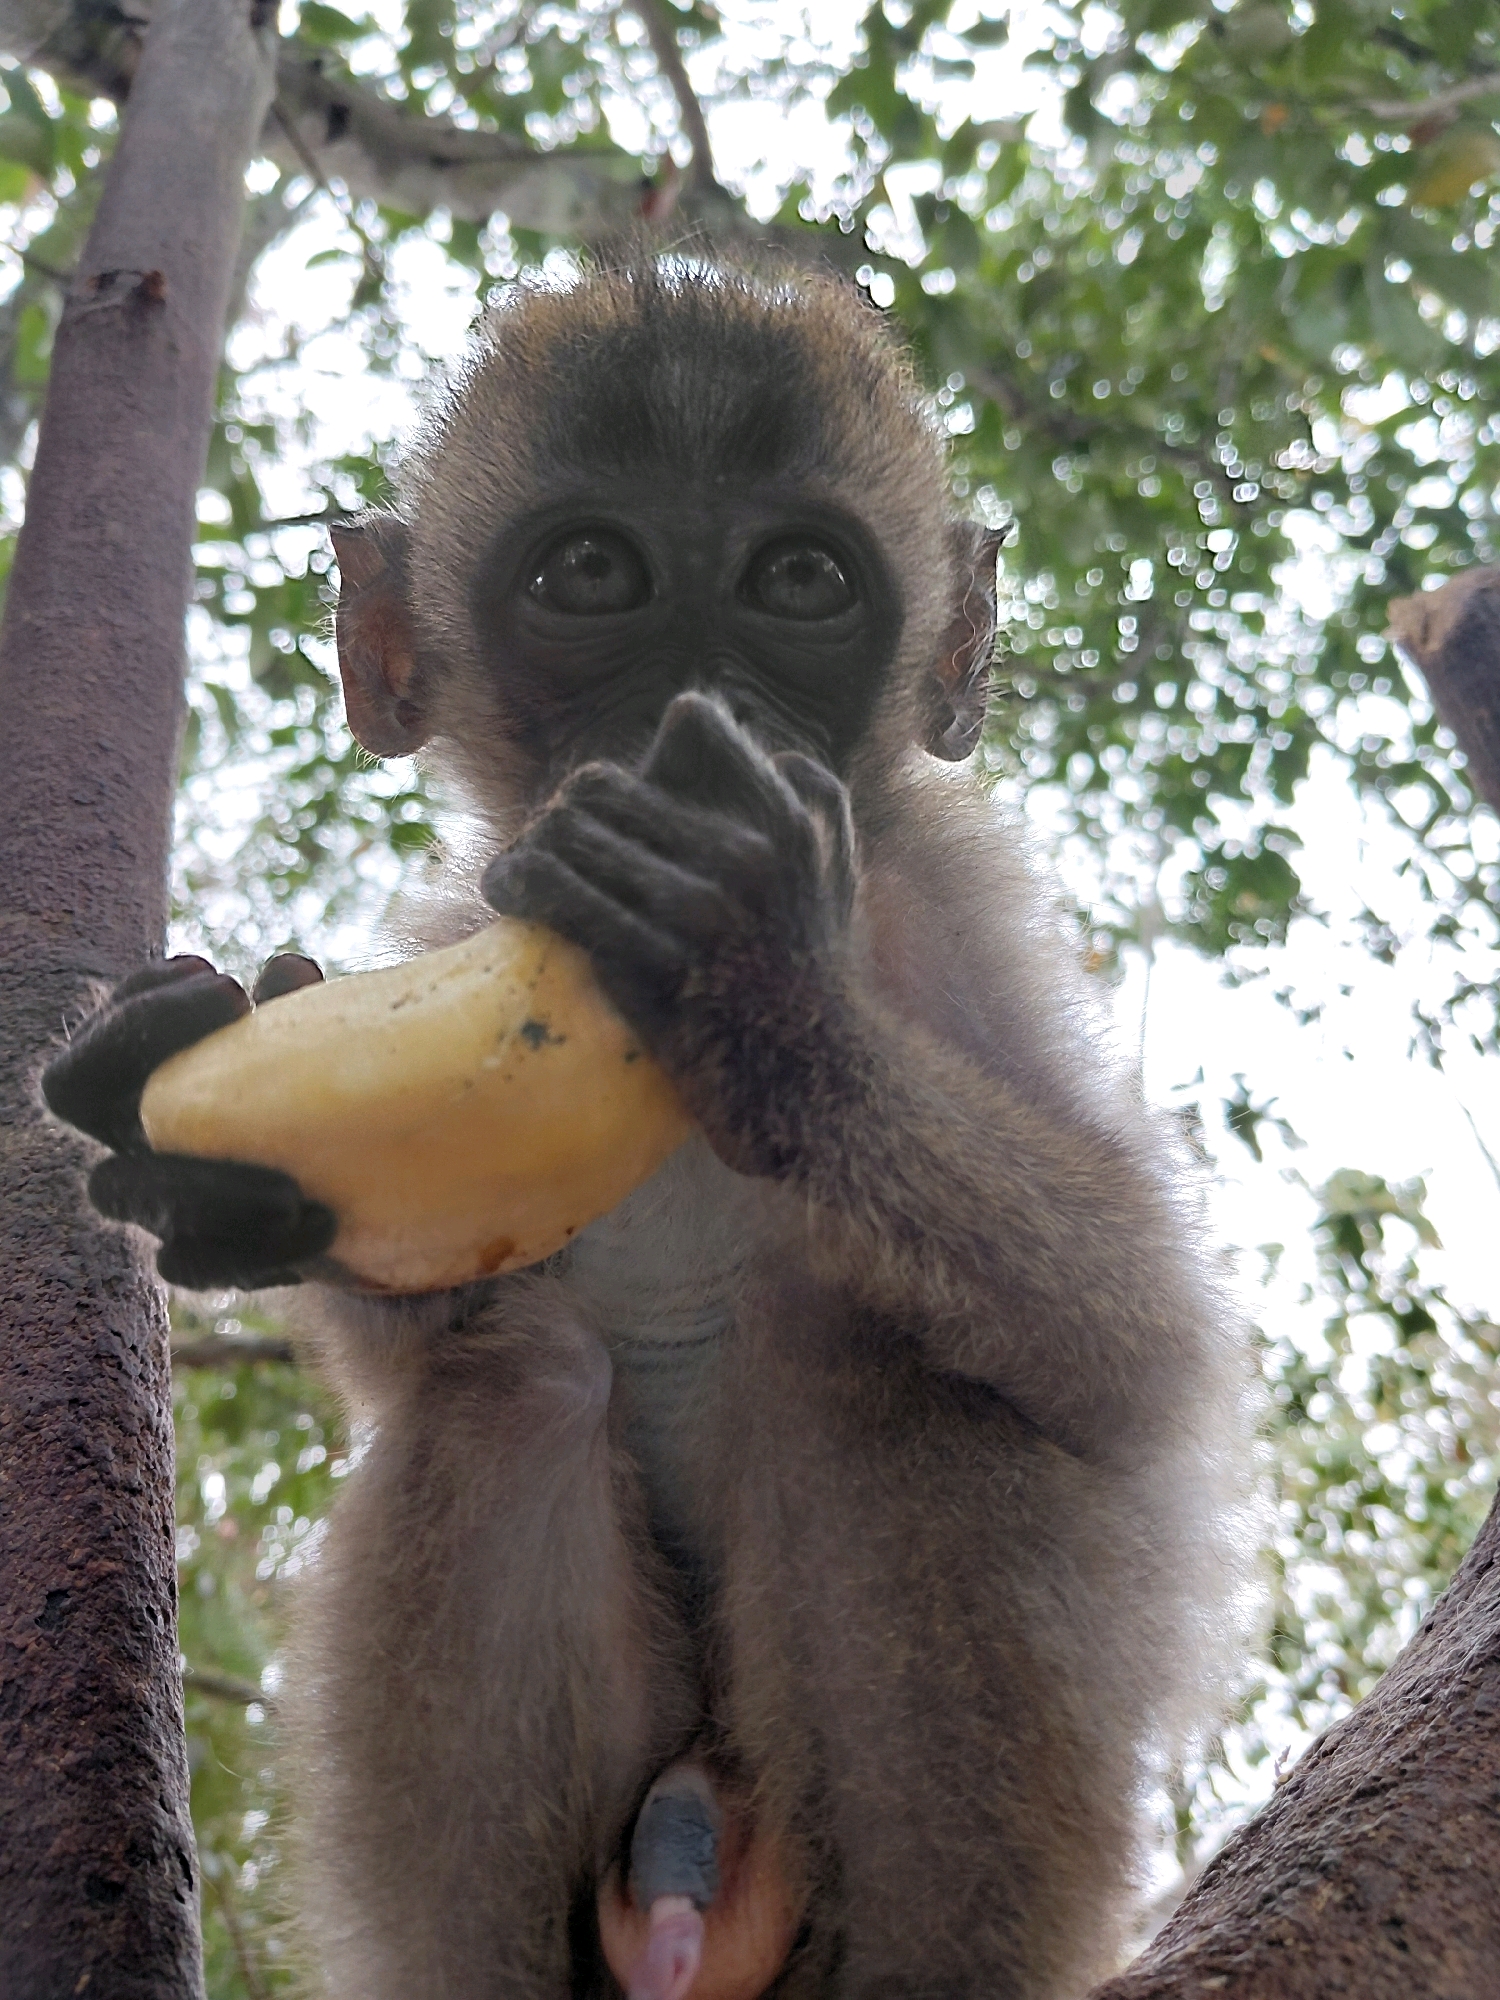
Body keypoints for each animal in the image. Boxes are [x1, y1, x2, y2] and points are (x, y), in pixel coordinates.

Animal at [42, 254, 1254, 2000]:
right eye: (593, 573)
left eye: (801, 582)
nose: (703, 723)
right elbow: (424, 1332)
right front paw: (201, 1117)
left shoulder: (933, 903)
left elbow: (1141, 1355)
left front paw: (761, 990)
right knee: (519, 1382)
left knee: (850, 1351)